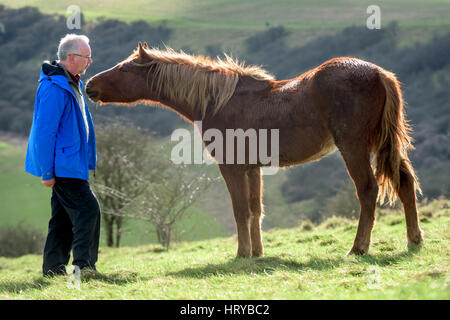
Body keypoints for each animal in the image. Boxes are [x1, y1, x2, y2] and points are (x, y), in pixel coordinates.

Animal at [86, 42, 424, 258]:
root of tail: (379, 73)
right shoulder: (252, 168)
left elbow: (241, 211)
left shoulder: (232, 167)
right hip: (384, 146)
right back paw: (414, 241)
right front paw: (258, 253)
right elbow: (255, 210)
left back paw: (358, 248)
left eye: (125, 69)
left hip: (353, 148)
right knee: (405, 183)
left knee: (367, 191)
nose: (90, 86)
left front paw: (242, 253)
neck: (220, 101)